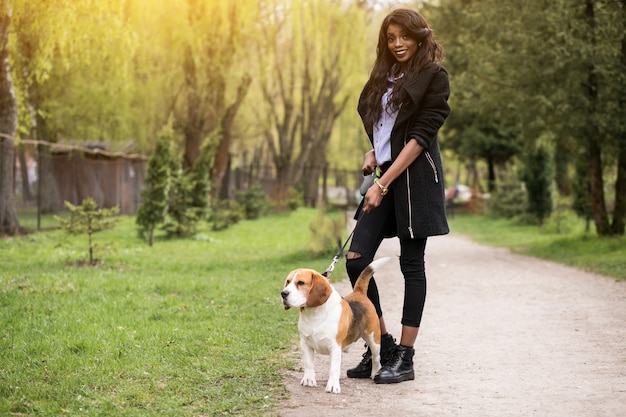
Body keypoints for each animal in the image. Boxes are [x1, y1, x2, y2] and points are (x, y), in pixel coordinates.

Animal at [282, 256, 388, 394]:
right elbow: (309, 364)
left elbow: (334, 368)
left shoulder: (335, 346)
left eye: (300, 283)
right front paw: (309, 379)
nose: (283, 293)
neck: (315, 313)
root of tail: (358, 293)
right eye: (288, 282)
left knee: (376, 357)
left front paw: (332, 386)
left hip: (373, 338)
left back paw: (375, 372)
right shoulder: (305, 343)